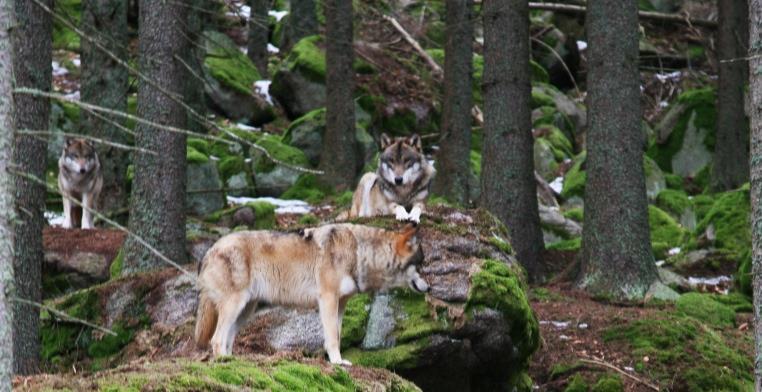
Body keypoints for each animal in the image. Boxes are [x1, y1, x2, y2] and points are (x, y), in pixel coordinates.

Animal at [193, 224, 428, 364]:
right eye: (421, 265)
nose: (429, 288)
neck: (359, 252)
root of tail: (208, 252)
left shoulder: (341, 303)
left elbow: (337, 334)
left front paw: (338, 361)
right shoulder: (328, 299)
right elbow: (332, 337)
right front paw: (337, 363)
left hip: (245, 311)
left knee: (227, 339)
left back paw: (234, 361)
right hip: (235, 306)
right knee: (216, 339)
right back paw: (223, 362)